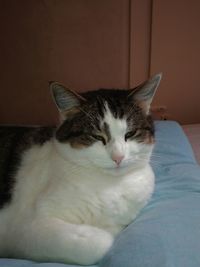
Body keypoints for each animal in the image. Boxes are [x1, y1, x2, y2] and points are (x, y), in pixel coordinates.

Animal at [0, 74, 161, 266]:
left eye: (130, 134)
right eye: (97, 137)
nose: (118, 157)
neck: (111, 185)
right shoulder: (27, 228)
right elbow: (101, 242)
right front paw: (103, 232)